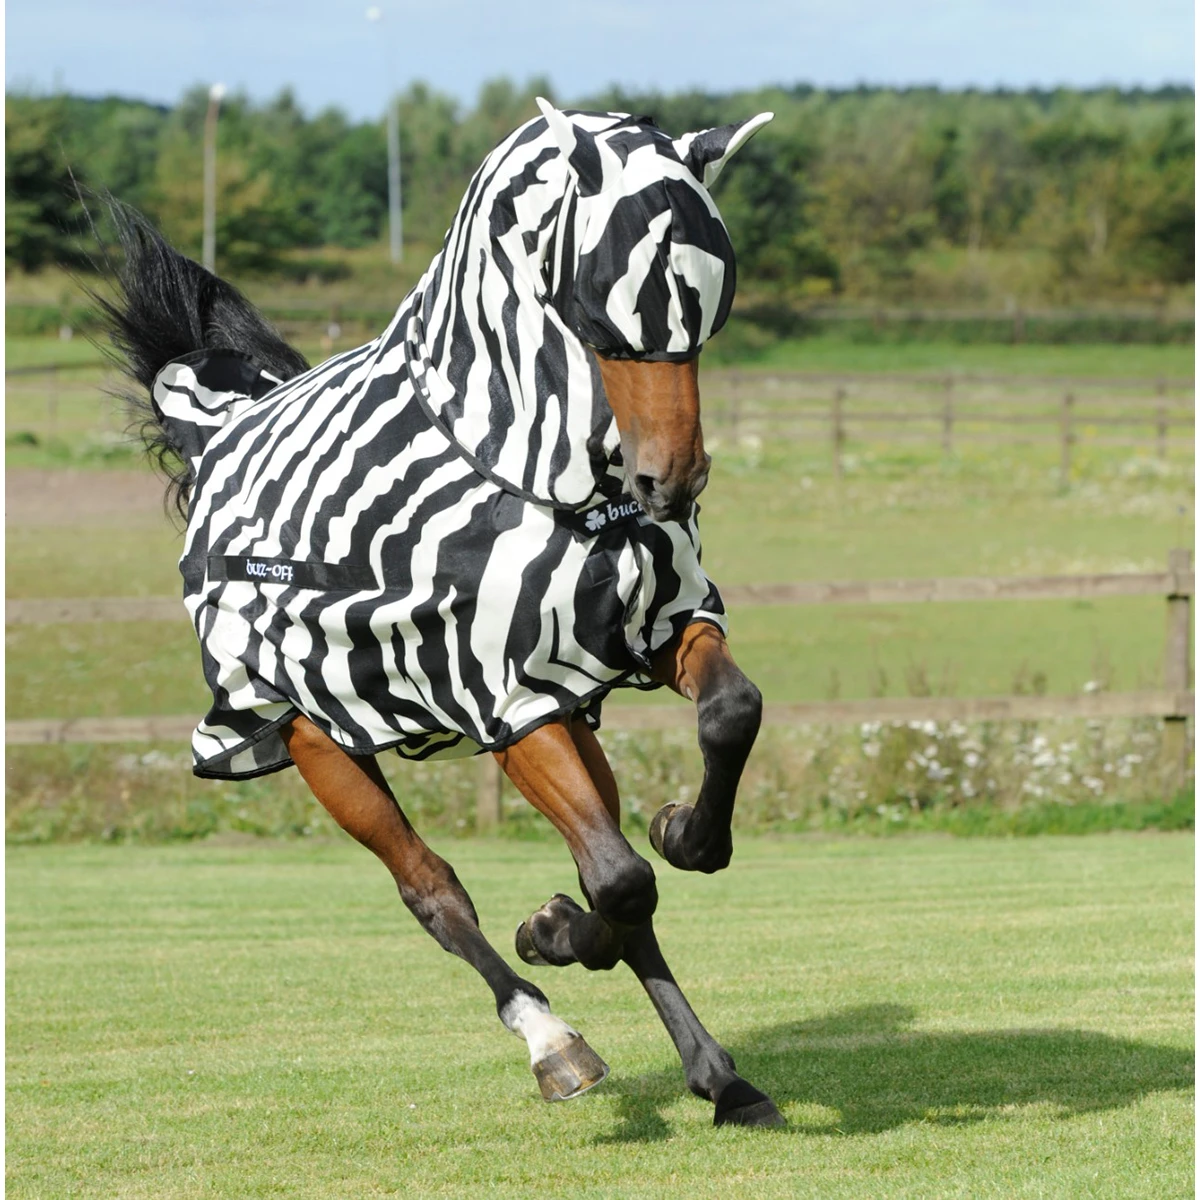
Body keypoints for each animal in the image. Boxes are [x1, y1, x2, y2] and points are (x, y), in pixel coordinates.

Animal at [99, 97, 784, 1127]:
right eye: (600, 301)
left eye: (712, 304)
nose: (671, 480)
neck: (528, 477)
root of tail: (218, 431)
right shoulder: (506, 701)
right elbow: (620, 882)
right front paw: (561, 934)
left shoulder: (646, 631)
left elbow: (724, 724)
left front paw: (679, 837)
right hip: (316, 744)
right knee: (435, 892)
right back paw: (553, 1042)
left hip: (560, 719)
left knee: (600, 866)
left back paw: (709, 1066)